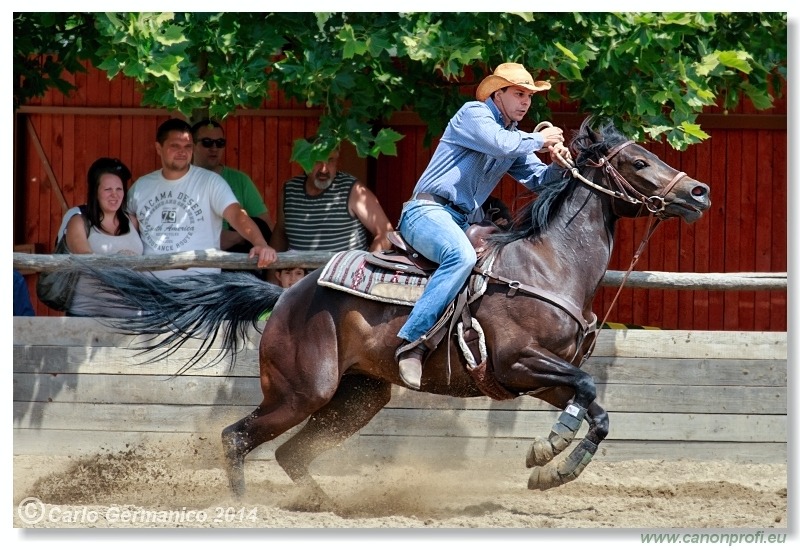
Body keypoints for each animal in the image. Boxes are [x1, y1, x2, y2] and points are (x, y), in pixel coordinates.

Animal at [87, 118, 712, 502]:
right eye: (638, 161)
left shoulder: (536, 378)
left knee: (291, 455)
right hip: (301, 393)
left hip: (356, 398)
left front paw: (550, 463)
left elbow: (596, 409)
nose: (700, 191)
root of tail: (286, 296)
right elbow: (587, 389)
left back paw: (327, 509)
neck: (546, 263)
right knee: (237, 438)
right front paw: (549, 451)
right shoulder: (517, 363)